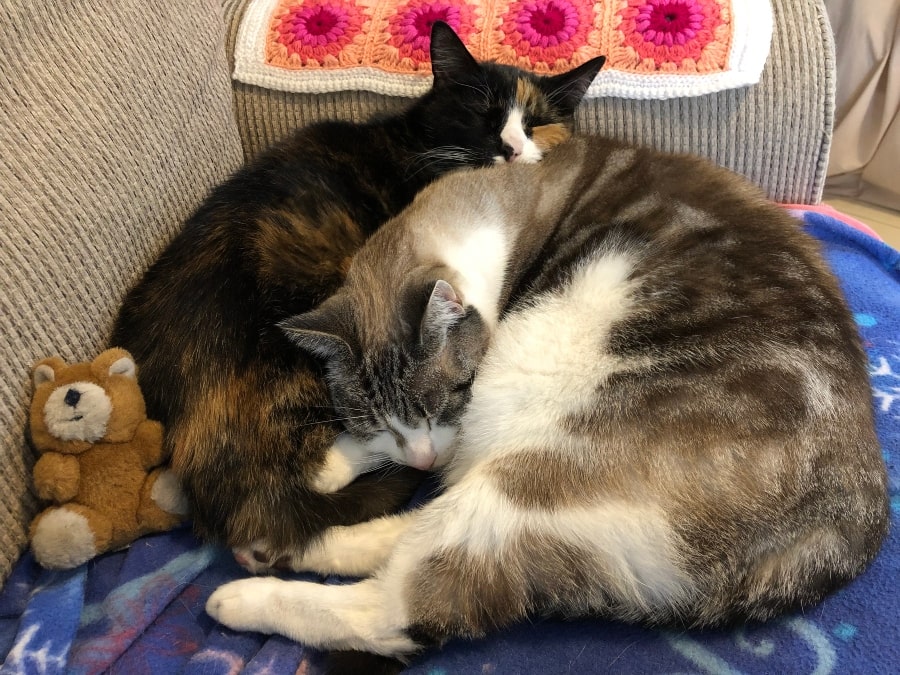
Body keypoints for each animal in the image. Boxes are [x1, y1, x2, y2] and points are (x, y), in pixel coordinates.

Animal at [207, 135, 888, 664]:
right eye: (380, 423)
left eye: (443, 402)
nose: (420, 459)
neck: (497, 197)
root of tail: (842, 531)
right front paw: (333, 461)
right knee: (414, 532)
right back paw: (285, 544)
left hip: (530, 475)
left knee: (402, 603)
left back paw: (245, 594)